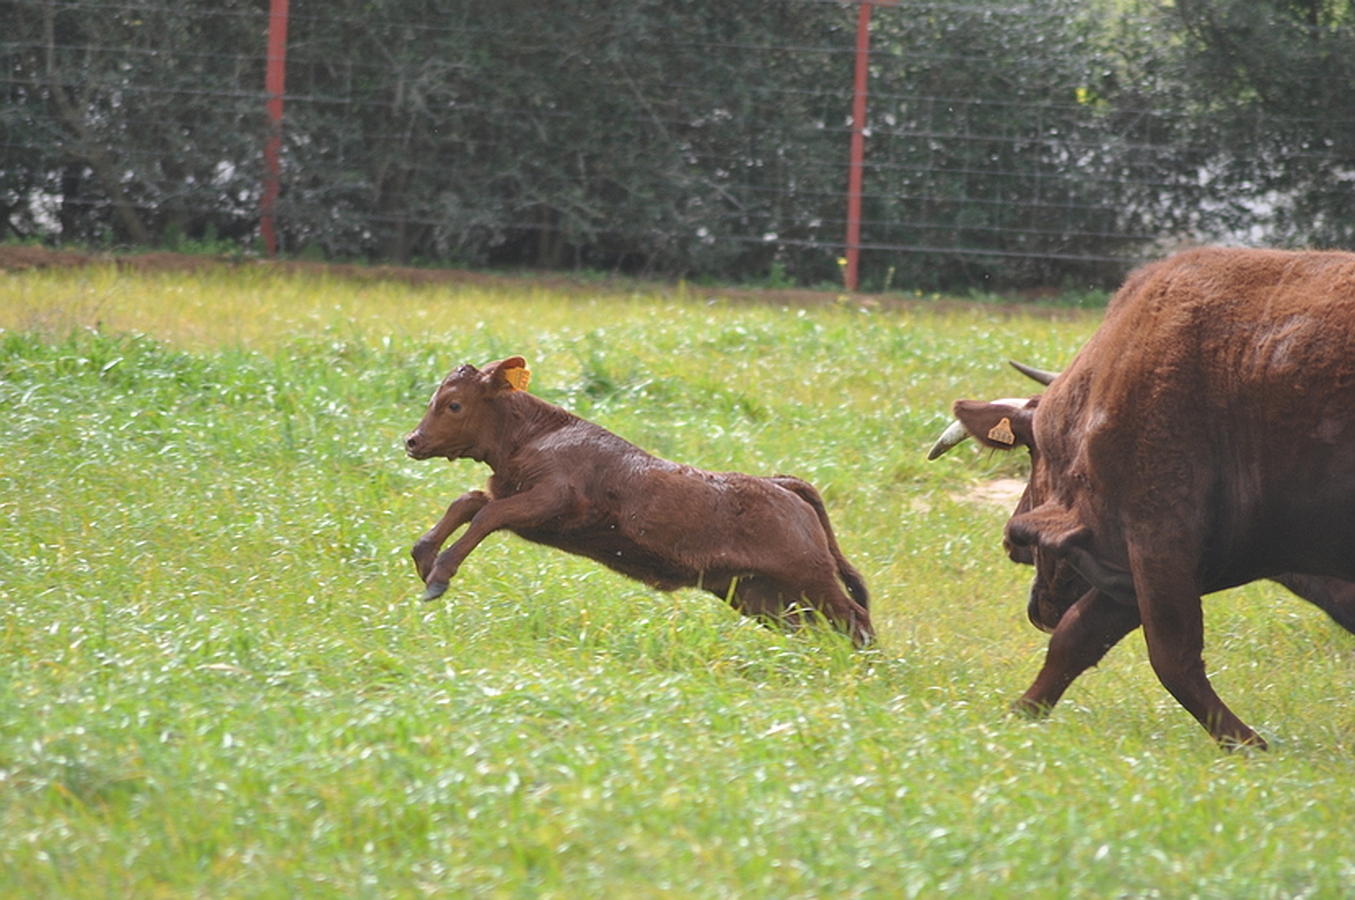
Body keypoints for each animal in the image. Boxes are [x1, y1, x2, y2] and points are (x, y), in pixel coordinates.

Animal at [401, 355, 872, 642]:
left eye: (453, 405)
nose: (412, 440)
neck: (533, 436)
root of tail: (782, 484)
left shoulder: (551, 499)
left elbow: (487, 513)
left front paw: (440, 575)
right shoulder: (521, 500)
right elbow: (469, 502)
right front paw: (424, 557)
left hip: (810, 577)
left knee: (856, 616)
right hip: (761, 594)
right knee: (812, 627)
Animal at [937, 249, 1355, 748]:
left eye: (1033, 453)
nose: (1012, 544)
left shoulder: (1157, 534)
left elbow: (1171, 655)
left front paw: (1250, 745)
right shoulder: (1150, 556)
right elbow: (1076, 639)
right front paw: (1016, 718)